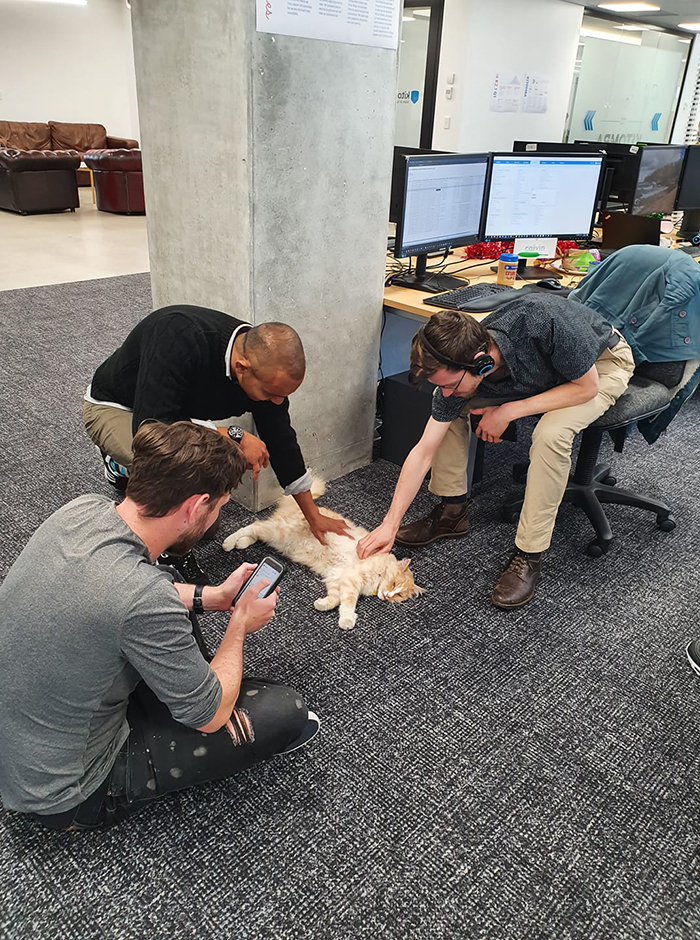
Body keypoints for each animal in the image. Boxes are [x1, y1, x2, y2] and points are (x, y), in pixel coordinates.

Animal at [221, 480, 425, 631]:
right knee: (253, 525)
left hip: (276, 538)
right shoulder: (351, 579)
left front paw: (322, 604)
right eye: (394, 584)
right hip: (278, 530)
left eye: (399, 595)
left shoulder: (336, 577)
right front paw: (347, 620)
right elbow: (348, 602)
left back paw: (241, 543)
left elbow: (335, 599)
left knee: (255, 533)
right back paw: (229, 542)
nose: (388, 595)